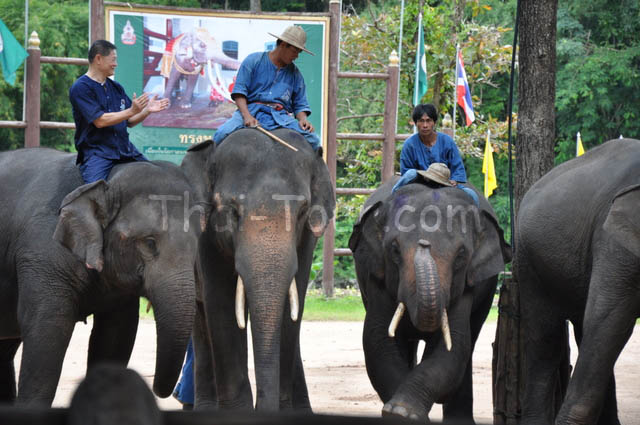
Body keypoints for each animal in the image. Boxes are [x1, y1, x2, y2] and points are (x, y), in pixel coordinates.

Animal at [0, 148, 204, 406]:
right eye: (149, 243)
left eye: (197, 244)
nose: (159, 391)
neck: (106, 181)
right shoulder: (42, 255)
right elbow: (46, 331)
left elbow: (115, 336)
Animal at [179, 128, 335, 411]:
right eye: (232, 211)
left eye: (301, 212)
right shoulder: (206, 238)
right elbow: (221, 305)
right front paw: (238, 413)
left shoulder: (307, 238)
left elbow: (291, 309)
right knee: (200, 320)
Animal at [348, 177, 511, 422]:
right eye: (394, 249)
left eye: (461, 255)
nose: (424, 244)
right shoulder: (376, 277)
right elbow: (378, 340)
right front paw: (398, 413)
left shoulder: (466, 286)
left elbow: (453, 347)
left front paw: (405, 411)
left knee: (468, 345)